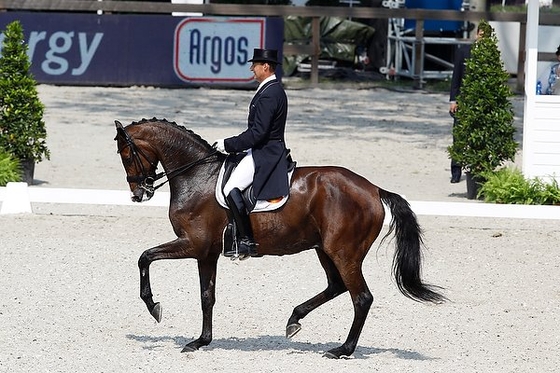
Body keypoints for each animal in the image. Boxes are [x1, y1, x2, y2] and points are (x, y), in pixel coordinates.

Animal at [115, 116, 446, 358]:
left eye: (127, 154)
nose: (138, 193)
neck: (198, 177)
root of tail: (374, 190)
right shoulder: (206, 253)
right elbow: (206, 296)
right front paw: (201, 341)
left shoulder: (193, 245)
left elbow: (144, 257)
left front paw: (154, 307)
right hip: (325, 250)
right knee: (337, 286)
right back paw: (294, 320)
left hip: (344, 253)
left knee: (361, 297)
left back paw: (342, 349)